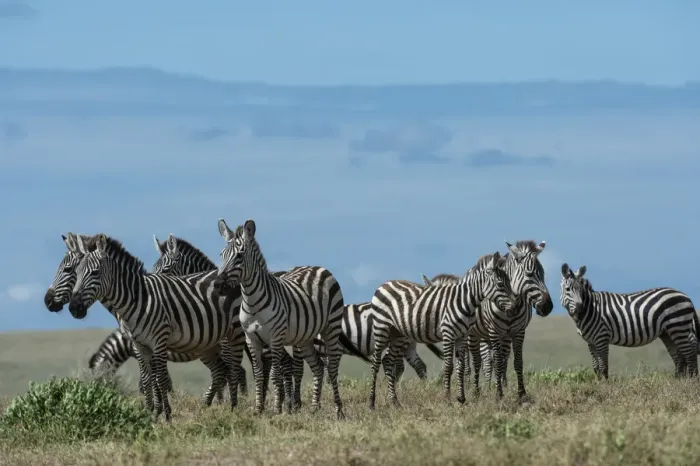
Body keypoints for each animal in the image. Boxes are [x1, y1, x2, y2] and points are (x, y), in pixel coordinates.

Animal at [48, 233, 246, 405]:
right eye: (76, 270)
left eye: (68, 269)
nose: (47, 300)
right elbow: (151, 381)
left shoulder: (151, 347)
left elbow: (154, 382)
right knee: (224, 371)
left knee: (235, 370)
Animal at [214, 218, 360, 419]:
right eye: (222, 255)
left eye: (239, 257)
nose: (217, 285)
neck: (252, 302)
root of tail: (319, 268)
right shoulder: (251, 339)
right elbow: (258, 374)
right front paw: (258, 410)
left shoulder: (275, 338)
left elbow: (275, 375)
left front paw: (277, 409)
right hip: (305, 337)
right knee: (318, 366)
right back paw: (314, 408)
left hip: (331, 328)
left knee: (331, 368)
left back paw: (338, 410)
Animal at [368, 251, 517, 410]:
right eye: (500, 284)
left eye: (509, 282)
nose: (515, 307)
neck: (465, 302)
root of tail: (384, 284)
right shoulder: (448, 334)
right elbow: (448, 367)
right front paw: (447, 399)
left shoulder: (462, 336)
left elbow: (460, 367)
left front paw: (461, 398)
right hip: (381, 328)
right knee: (375, 363)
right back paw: (371, 402)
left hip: (398, 334)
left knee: (387, 361)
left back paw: (394, 401)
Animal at [465, 241, 554, 402]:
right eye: (529, 274)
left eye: (543, 274)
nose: (548, 306)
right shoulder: (494, 332)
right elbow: (496, 362)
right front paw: (498, 394)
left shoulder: (518, 332)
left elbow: (517, 362)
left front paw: (521, 393)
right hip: (474, 334)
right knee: (478, 361)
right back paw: (477, 391)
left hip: (501, 337)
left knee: (498, 360)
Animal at [560, 263, 699, 378]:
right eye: (567, 289)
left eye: (580, 290)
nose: (580, 309)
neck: (591, 308)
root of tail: (686, 296)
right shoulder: (591, 342)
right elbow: (596, 367)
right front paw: (598, 383)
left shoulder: (602, 337)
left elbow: (603, 366)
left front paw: (605, 386)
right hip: (667, 333)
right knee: (679, 357)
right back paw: (678, 381)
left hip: (678, 327)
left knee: (690, 354)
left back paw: (691, 381)